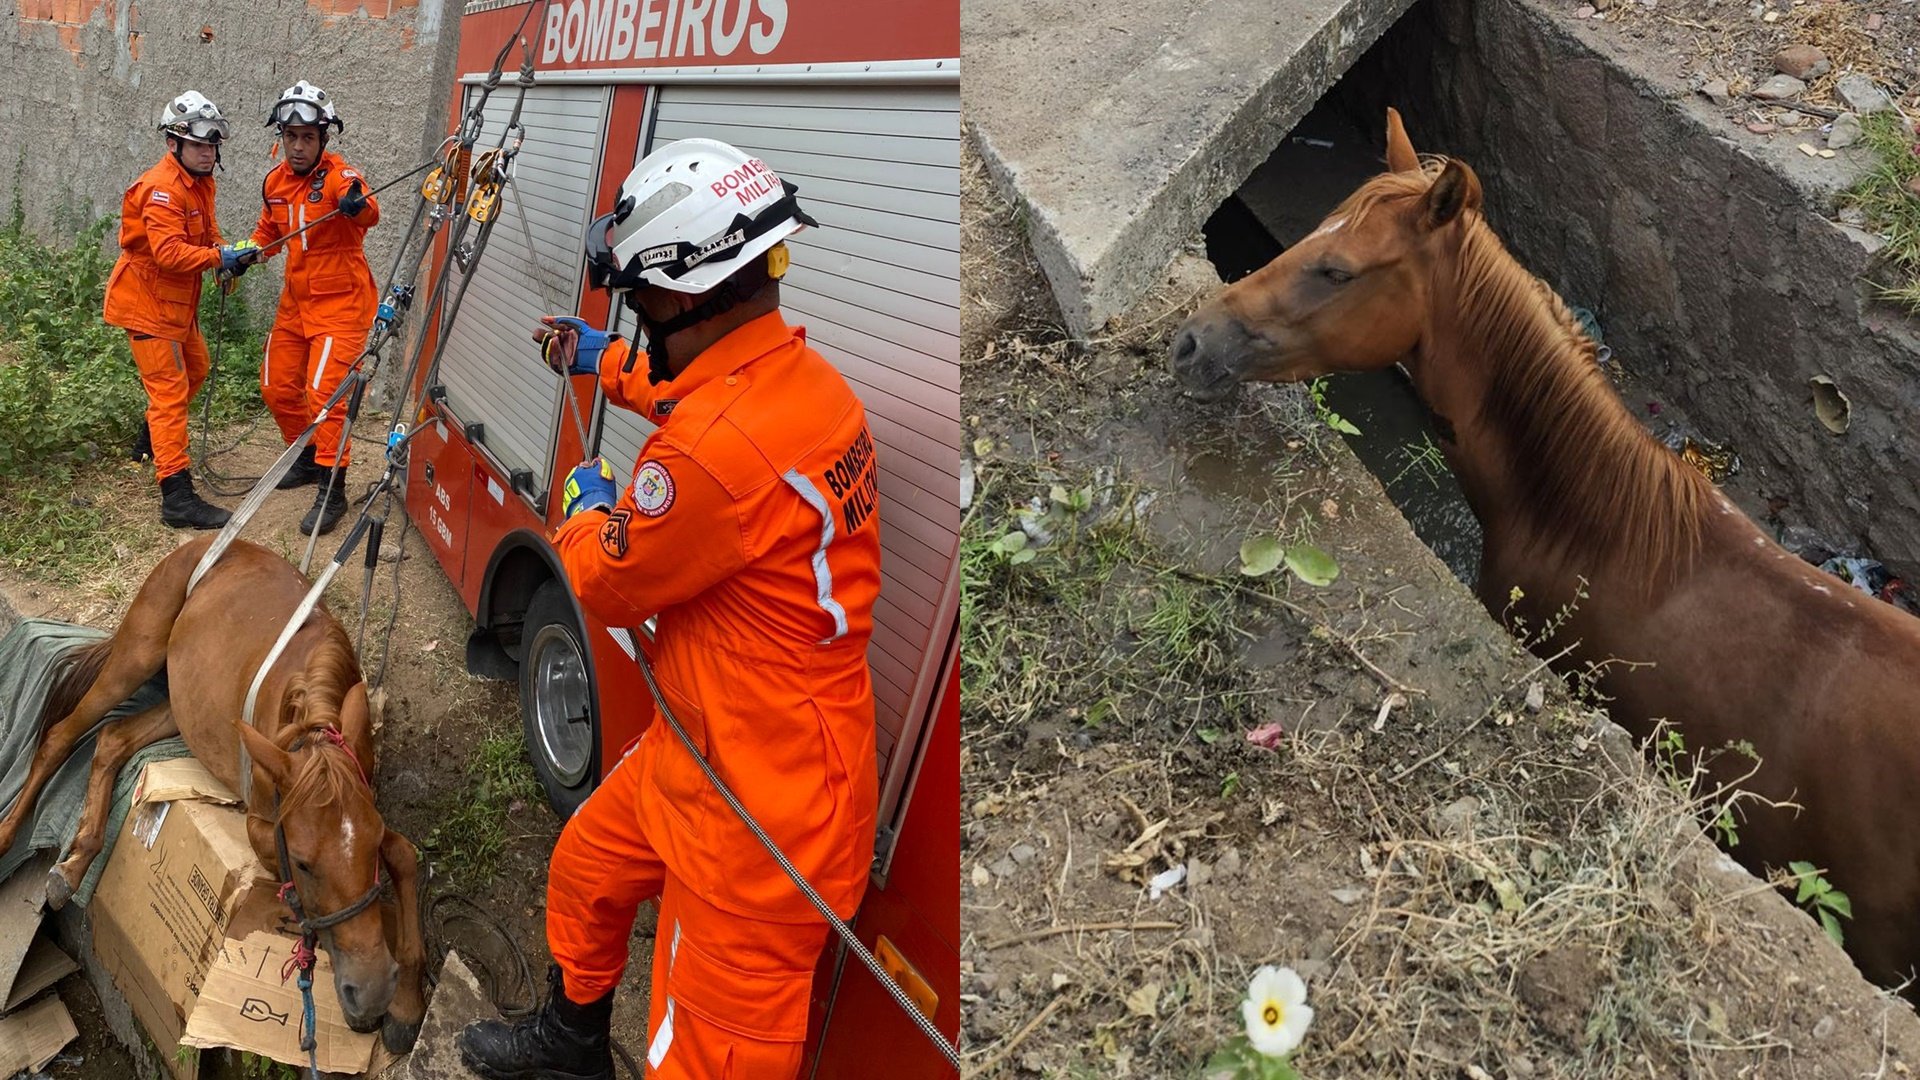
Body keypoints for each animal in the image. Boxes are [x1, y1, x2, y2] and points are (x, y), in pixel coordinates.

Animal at [0, 534, 428, 1045]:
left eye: (368, 848)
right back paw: (13, 838)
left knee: (112, 739)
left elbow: (402, 854)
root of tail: (209, 541)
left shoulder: (366, 800)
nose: (372, 989)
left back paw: (78, 859)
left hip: (185, 700)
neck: (310, 717)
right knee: (60, 737)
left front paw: (406, 1001)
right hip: (135, 658)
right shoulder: (262, 822)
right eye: (303, 862)